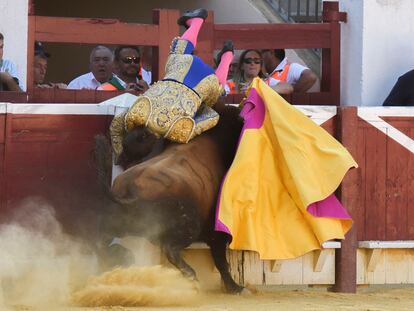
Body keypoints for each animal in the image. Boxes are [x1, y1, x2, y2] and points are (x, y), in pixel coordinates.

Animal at [94, 103, 246, 294]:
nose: (122, 157)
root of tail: (130, 194)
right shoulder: (217, 232)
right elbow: (221, 261)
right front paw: (235, 287)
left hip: (116, 223)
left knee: (101, 243)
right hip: (188, 226)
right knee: (170, 249)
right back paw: (191, 276)